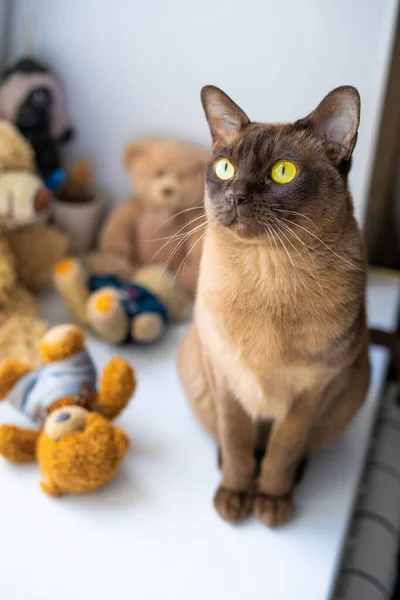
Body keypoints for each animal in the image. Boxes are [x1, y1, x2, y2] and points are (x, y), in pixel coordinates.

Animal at [180, 84, 370, 524]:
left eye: (283, 172)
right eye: (225, 169)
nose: (235, 196)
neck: (267, 272)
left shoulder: (311, 392)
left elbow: (282, 451)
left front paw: (270, 501)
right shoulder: (225, 378)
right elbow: (236, 445)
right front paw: (235, 495)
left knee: (295, 451)